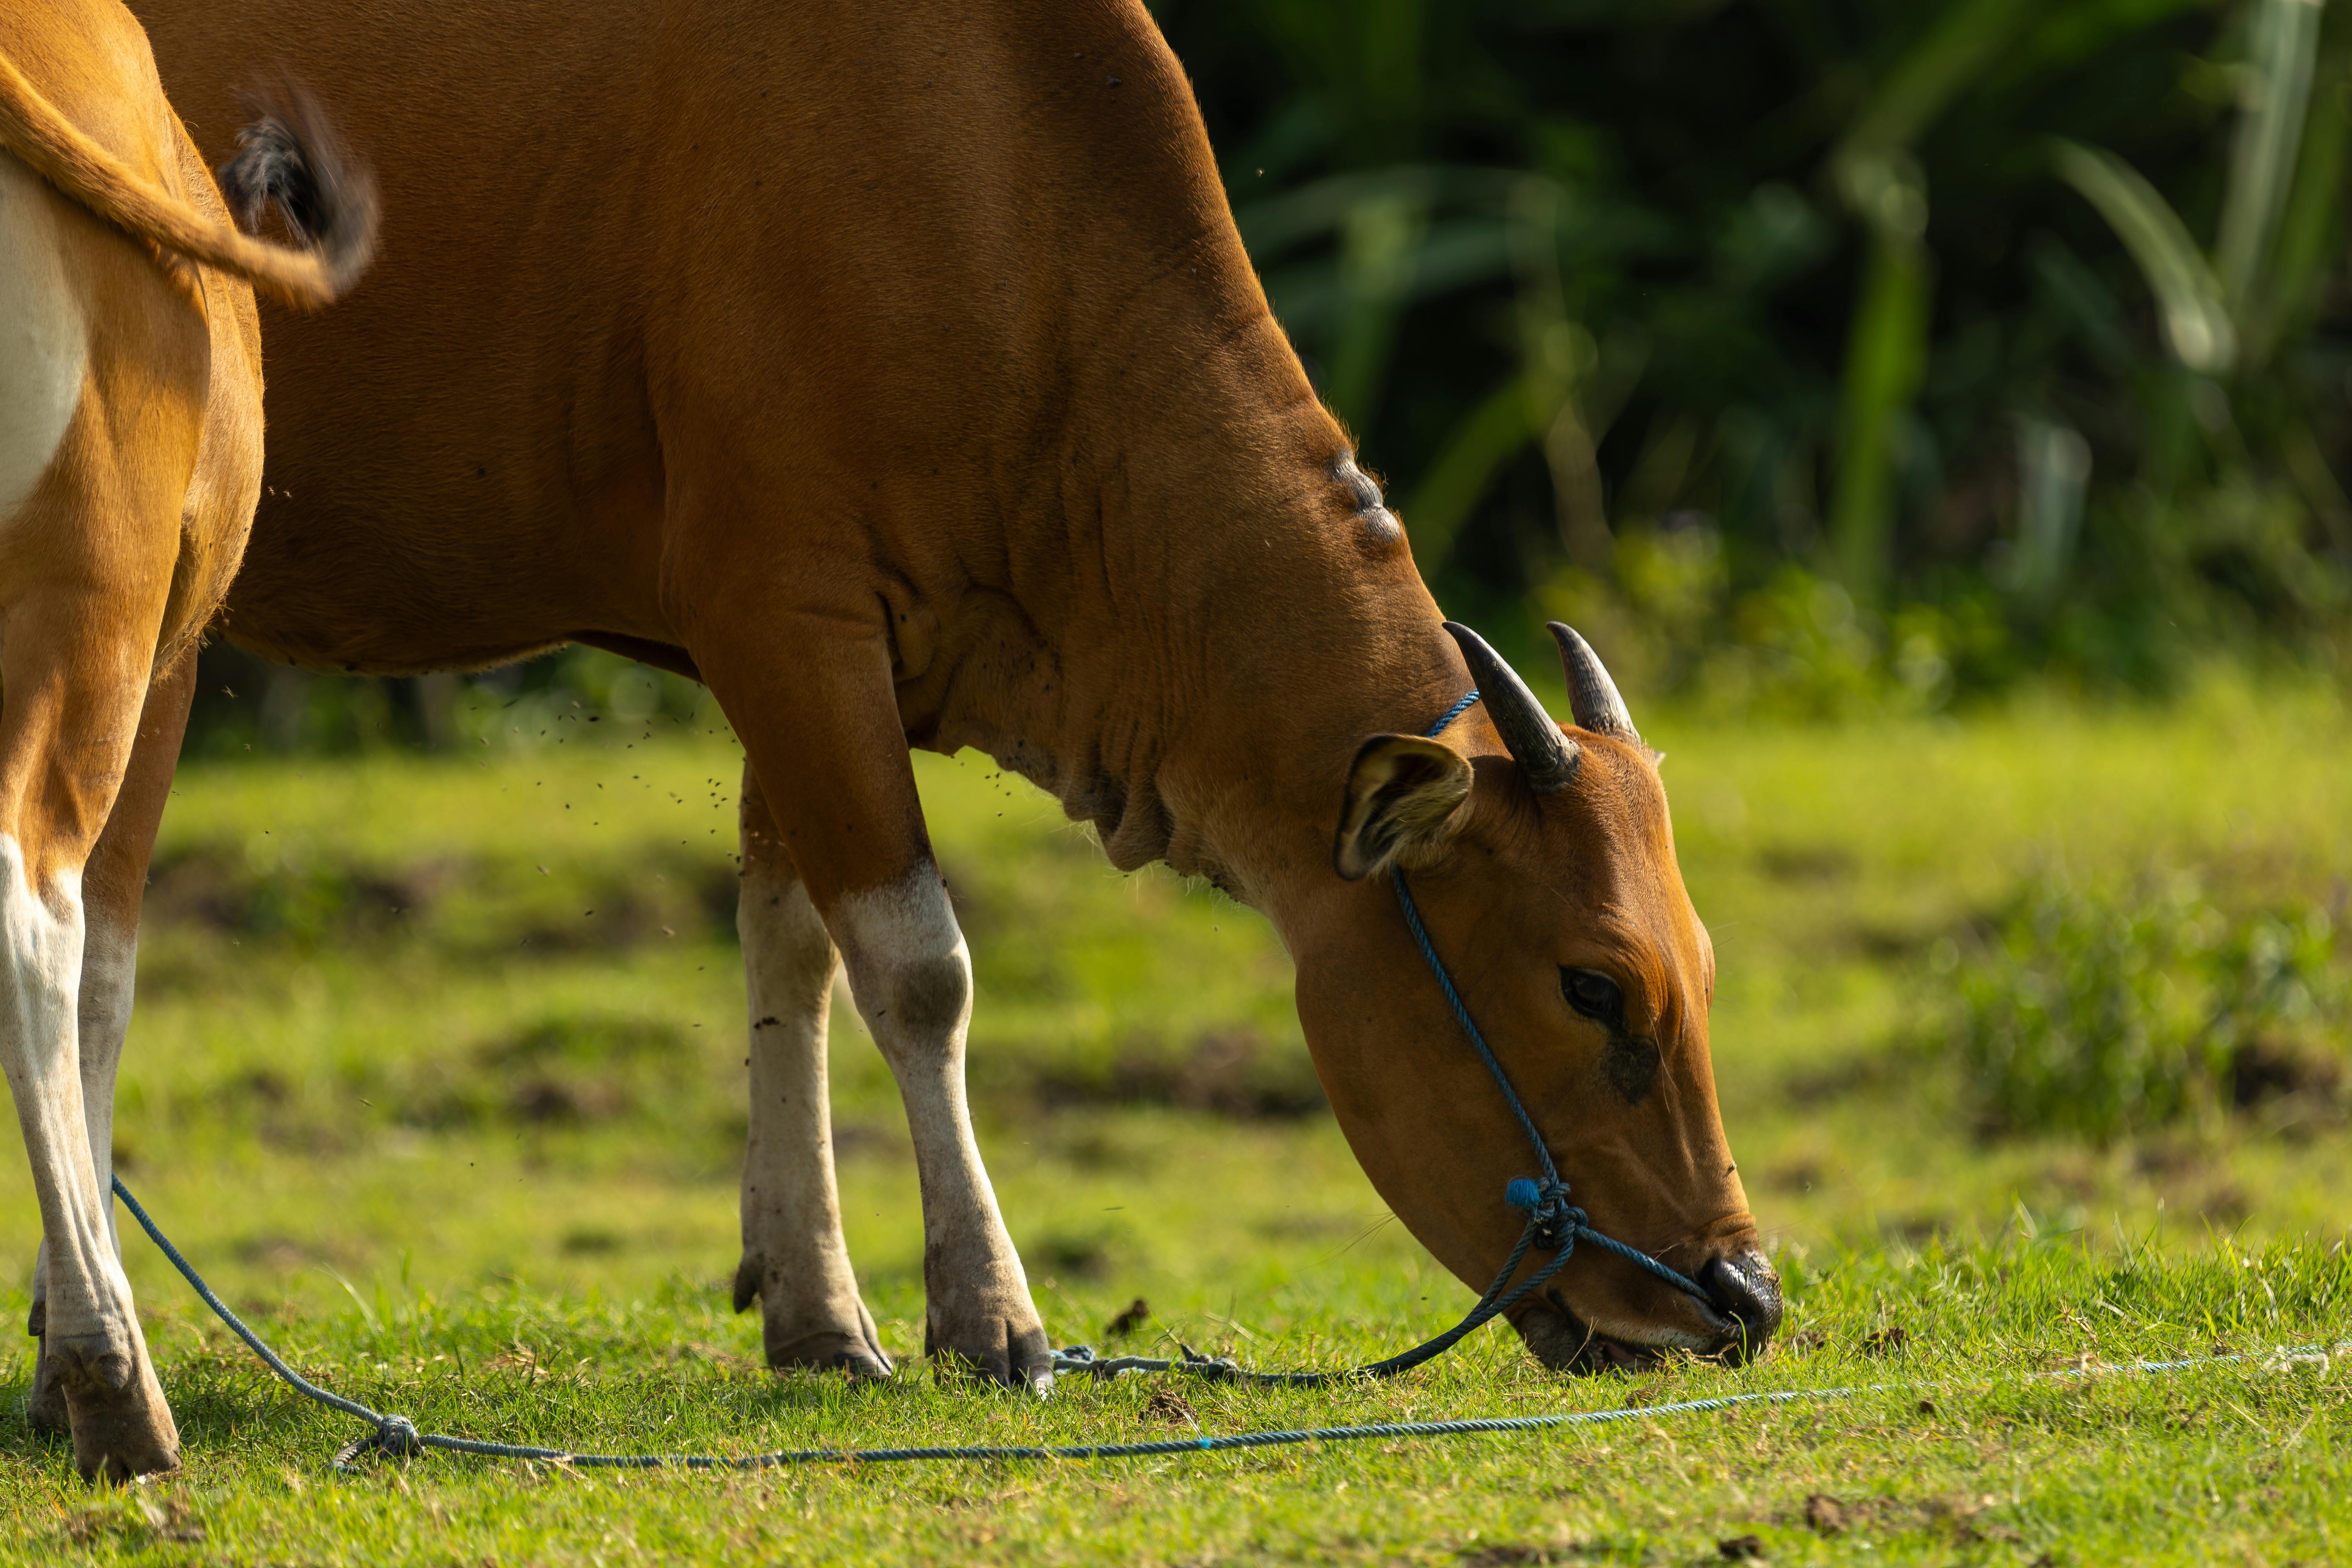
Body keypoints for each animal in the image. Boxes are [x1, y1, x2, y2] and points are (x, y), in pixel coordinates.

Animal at [97, 0, 1779, 1457]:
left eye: (1703, 973)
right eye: (1592, 987)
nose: (1743, 1294)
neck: (996, 211)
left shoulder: (807, 657)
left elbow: (790, 949)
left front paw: (820, 1311)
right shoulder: (782, 610)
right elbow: (919, 967)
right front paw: (990, 1315)